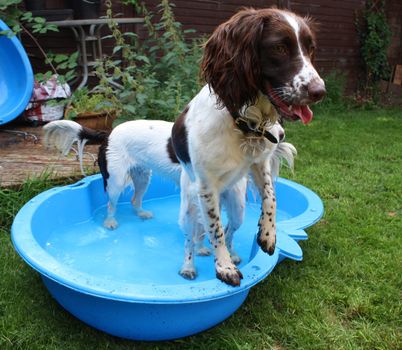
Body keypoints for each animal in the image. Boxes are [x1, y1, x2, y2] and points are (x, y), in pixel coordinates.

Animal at [171, 8, 326, 286]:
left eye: (311, 49)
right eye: (279, 47)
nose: (320, 91)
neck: (244, 123)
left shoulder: (259, 163)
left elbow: (271, 196)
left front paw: (268, 234)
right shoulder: (207, 188)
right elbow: (215, 230)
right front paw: (224, 267)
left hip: (237, 205)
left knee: (230, 230)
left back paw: (234, 253)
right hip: (190, 206)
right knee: (192, 238)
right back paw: (189, 266)